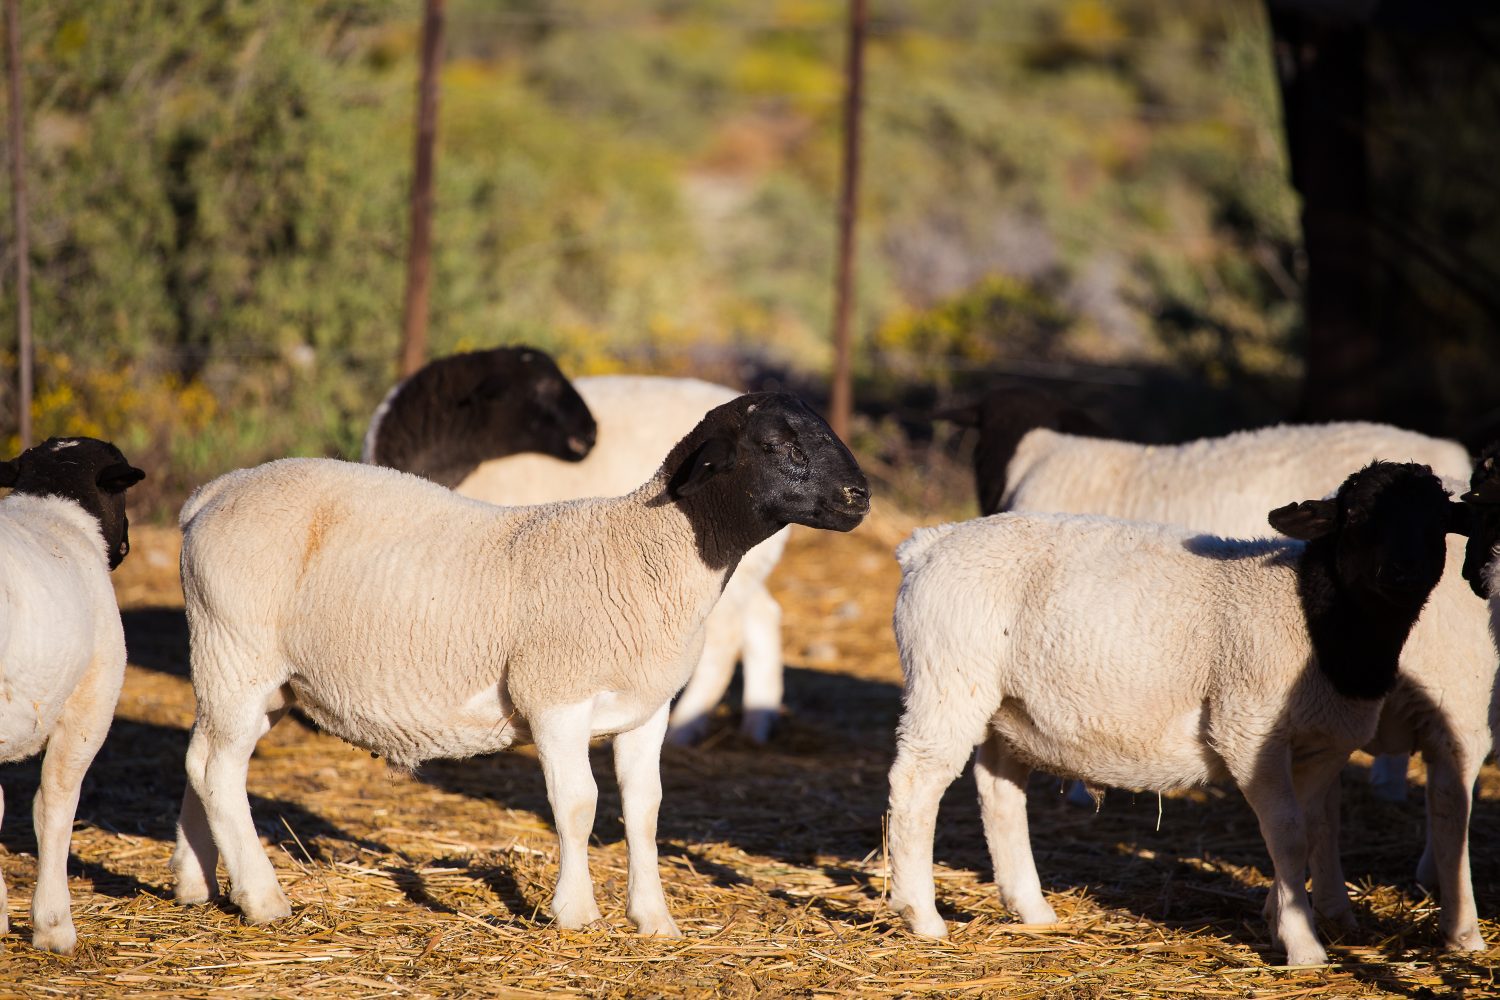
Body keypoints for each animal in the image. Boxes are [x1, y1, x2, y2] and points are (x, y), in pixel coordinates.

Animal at [171, 392, 876, 941]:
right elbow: (578, 804)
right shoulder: (554, 696)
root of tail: (212, 493)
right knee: (218, 769)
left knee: (202, 762)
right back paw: (263, 900)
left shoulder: (645, 709)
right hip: (236, 649)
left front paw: (653, 920)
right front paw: (577, 913)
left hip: (249, 673)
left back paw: (195, 883)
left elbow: (644, 807)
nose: (858, 496)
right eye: (774, 443)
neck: (648, 551)